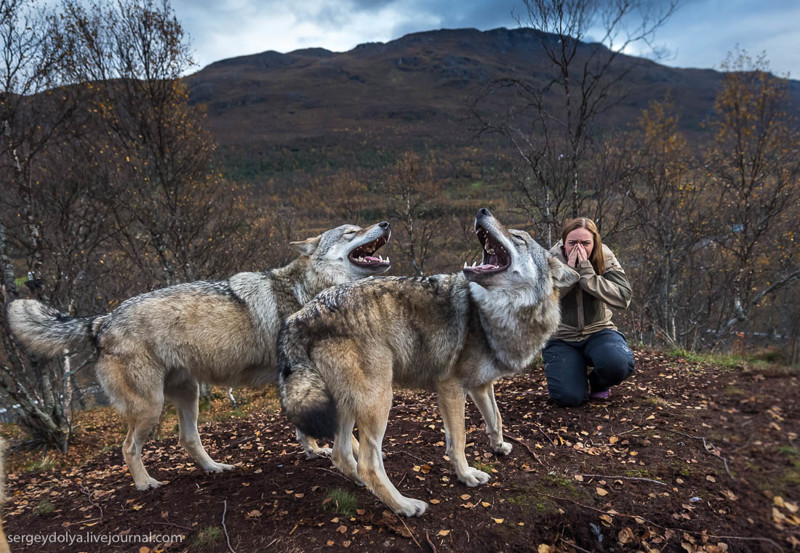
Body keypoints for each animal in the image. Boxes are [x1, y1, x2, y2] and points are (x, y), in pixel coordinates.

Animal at [5, 220, 394, 488]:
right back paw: (146, 484)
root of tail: (101, 320)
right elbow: (346, 433)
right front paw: (349, 456)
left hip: (187, 394)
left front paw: (314, 449)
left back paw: (215, 468)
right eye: (351, 232)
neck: (308, 291)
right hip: (150, 407)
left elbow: (304, 426)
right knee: (128, 447)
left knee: (188, 439)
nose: (385, 223)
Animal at [278, 209, 580, 516]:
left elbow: (495, 418)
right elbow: (459, 439)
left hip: (348, 405)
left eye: (518, 238)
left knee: (341, 455)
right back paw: (404, 505)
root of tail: (300, 316)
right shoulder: (450, 386)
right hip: (378, 400)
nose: (482, 211)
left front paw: (499, 446)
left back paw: (363, 485)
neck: (493, 313)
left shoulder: (481, 385)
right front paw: (467, 475)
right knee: (368, 463)